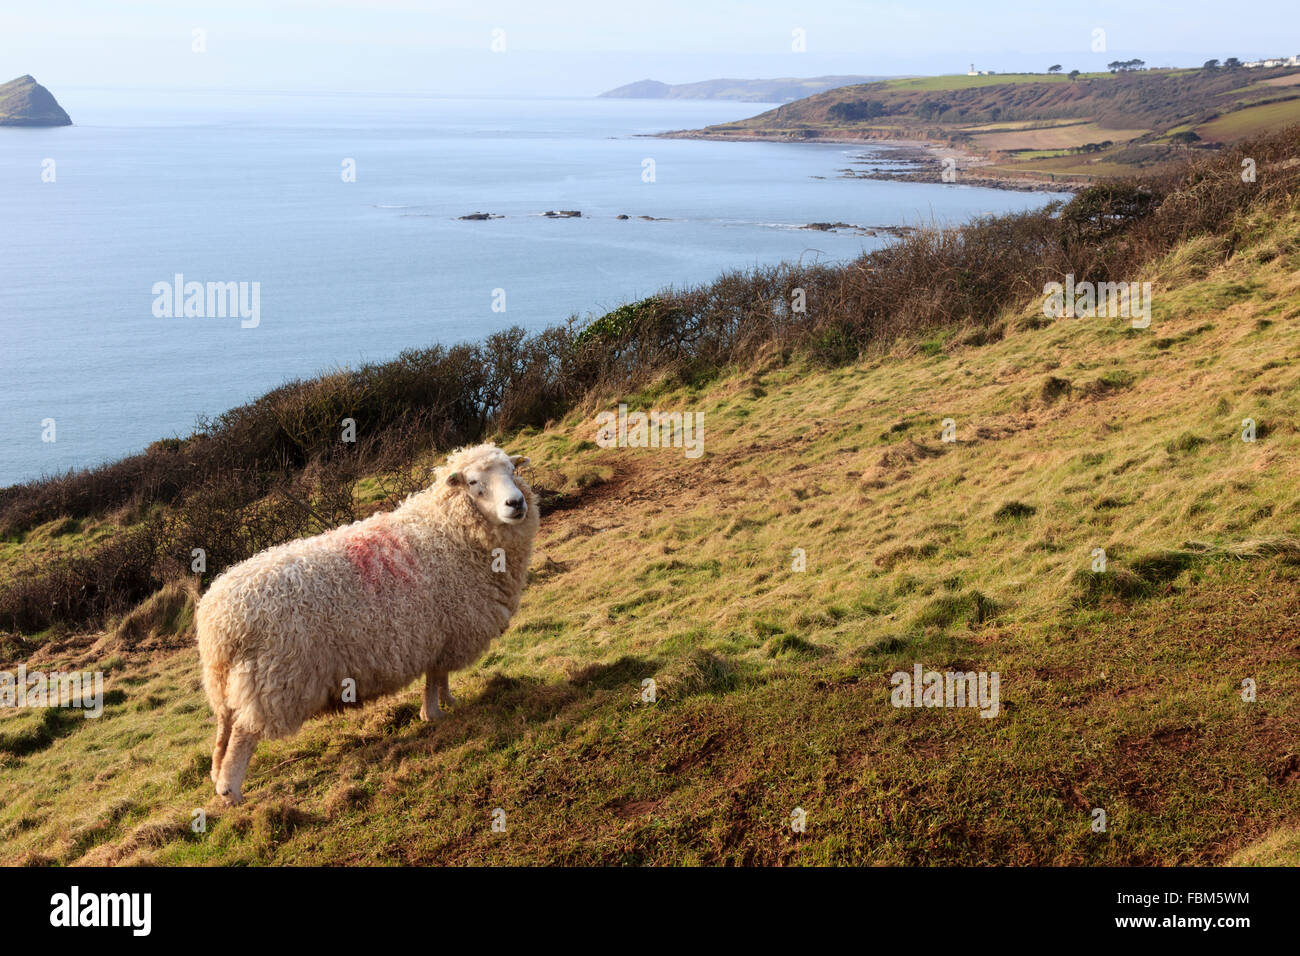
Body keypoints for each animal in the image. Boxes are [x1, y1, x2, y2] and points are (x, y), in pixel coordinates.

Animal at [193, 444, 538, 806]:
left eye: (512, 471)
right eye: (473, 482)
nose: (516, 503)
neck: (447, 530)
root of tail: (217, 619)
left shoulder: (442, 634)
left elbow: (439, 675)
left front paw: (448, 703)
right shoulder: (445, 628)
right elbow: (433, 679)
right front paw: (433, 714)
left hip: (228, 682)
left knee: (224, 729)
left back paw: (217, 776)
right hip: (273, 679)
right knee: (242, 735)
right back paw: (231, 792)